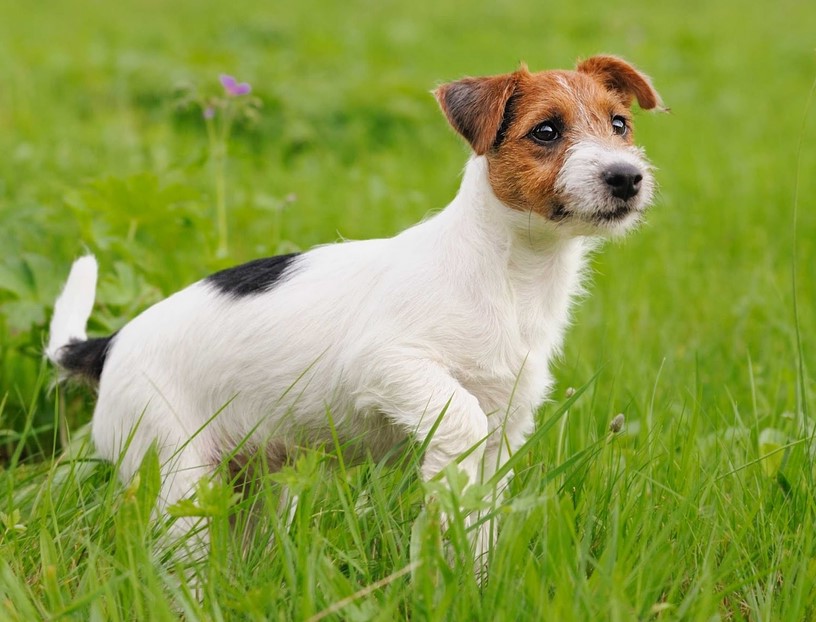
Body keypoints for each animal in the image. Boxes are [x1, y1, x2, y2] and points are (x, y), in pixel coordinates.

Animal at [46, 56, 664, 568]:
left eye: (619, 125)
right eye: (546, 131)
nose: (626, 177)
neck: (514, 273)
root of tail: (108, 345)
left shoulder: (505, 427)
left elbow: (482, 518)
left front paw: (473, 577)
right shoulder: (386, 364)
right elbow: (457, 417)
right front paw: (441, 492)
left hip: (259, 480)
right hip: (177, 471)